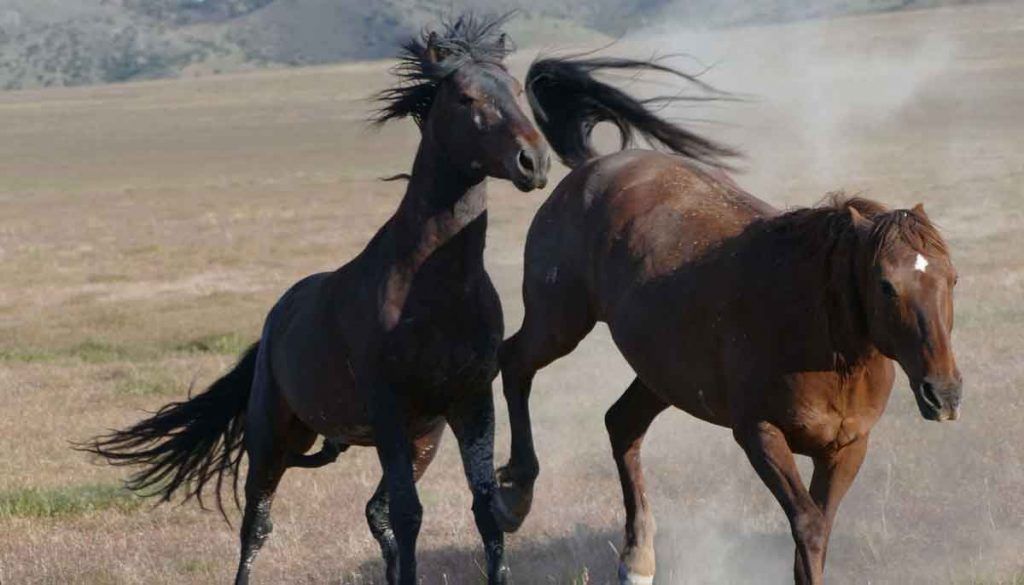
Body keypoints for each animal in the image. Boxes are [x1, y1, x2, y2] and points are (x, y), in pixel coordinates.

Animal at [84, 14, 552, 585]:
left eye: (516, 91)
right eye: (466, 97)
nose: (533, 161)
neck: (433, 287)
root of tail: (274, 321)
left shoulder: (470, 405)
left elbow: (485, 511)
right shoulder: (389, 406)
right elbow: (410, 512)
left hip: (422, 439)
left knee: (374, 513)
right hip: (273, 437)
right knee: (257, 525)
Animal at [491, 56, 962, 585]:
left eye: (953, 278)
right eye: (885, 285)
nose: (944, 395)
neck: (822, 337)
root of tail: (594, 168)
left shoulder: (846, 447)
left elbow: (817, 533)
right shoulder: (759, 433)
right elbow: (808, 525)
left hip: (661, 373)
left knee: (621, 425)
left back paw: (637, 560)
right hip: (559, 321)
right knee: (514, 362)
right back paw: (514, 497)